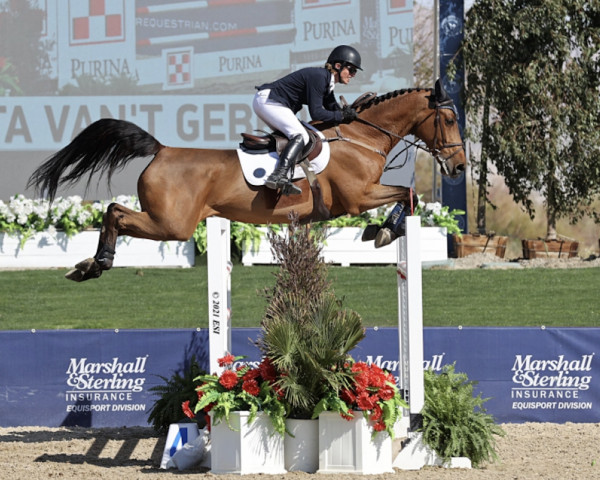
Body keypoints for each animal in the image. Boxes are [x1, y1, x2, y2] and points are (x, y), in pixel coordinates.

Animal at [28, 79, 466, 282]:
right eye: (448, 119)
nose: (460, 167)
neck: (362, 137)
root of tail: (162, 149)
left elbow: (407, 194)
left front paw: (381, 230)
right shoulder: (358, 198)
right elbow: (407, 192)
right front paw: (384, 232)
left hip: (170, 222)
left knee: (114, 210)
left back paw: (90, 264)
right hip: (173, 224)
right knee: (116, 211)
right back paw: (96, 263)